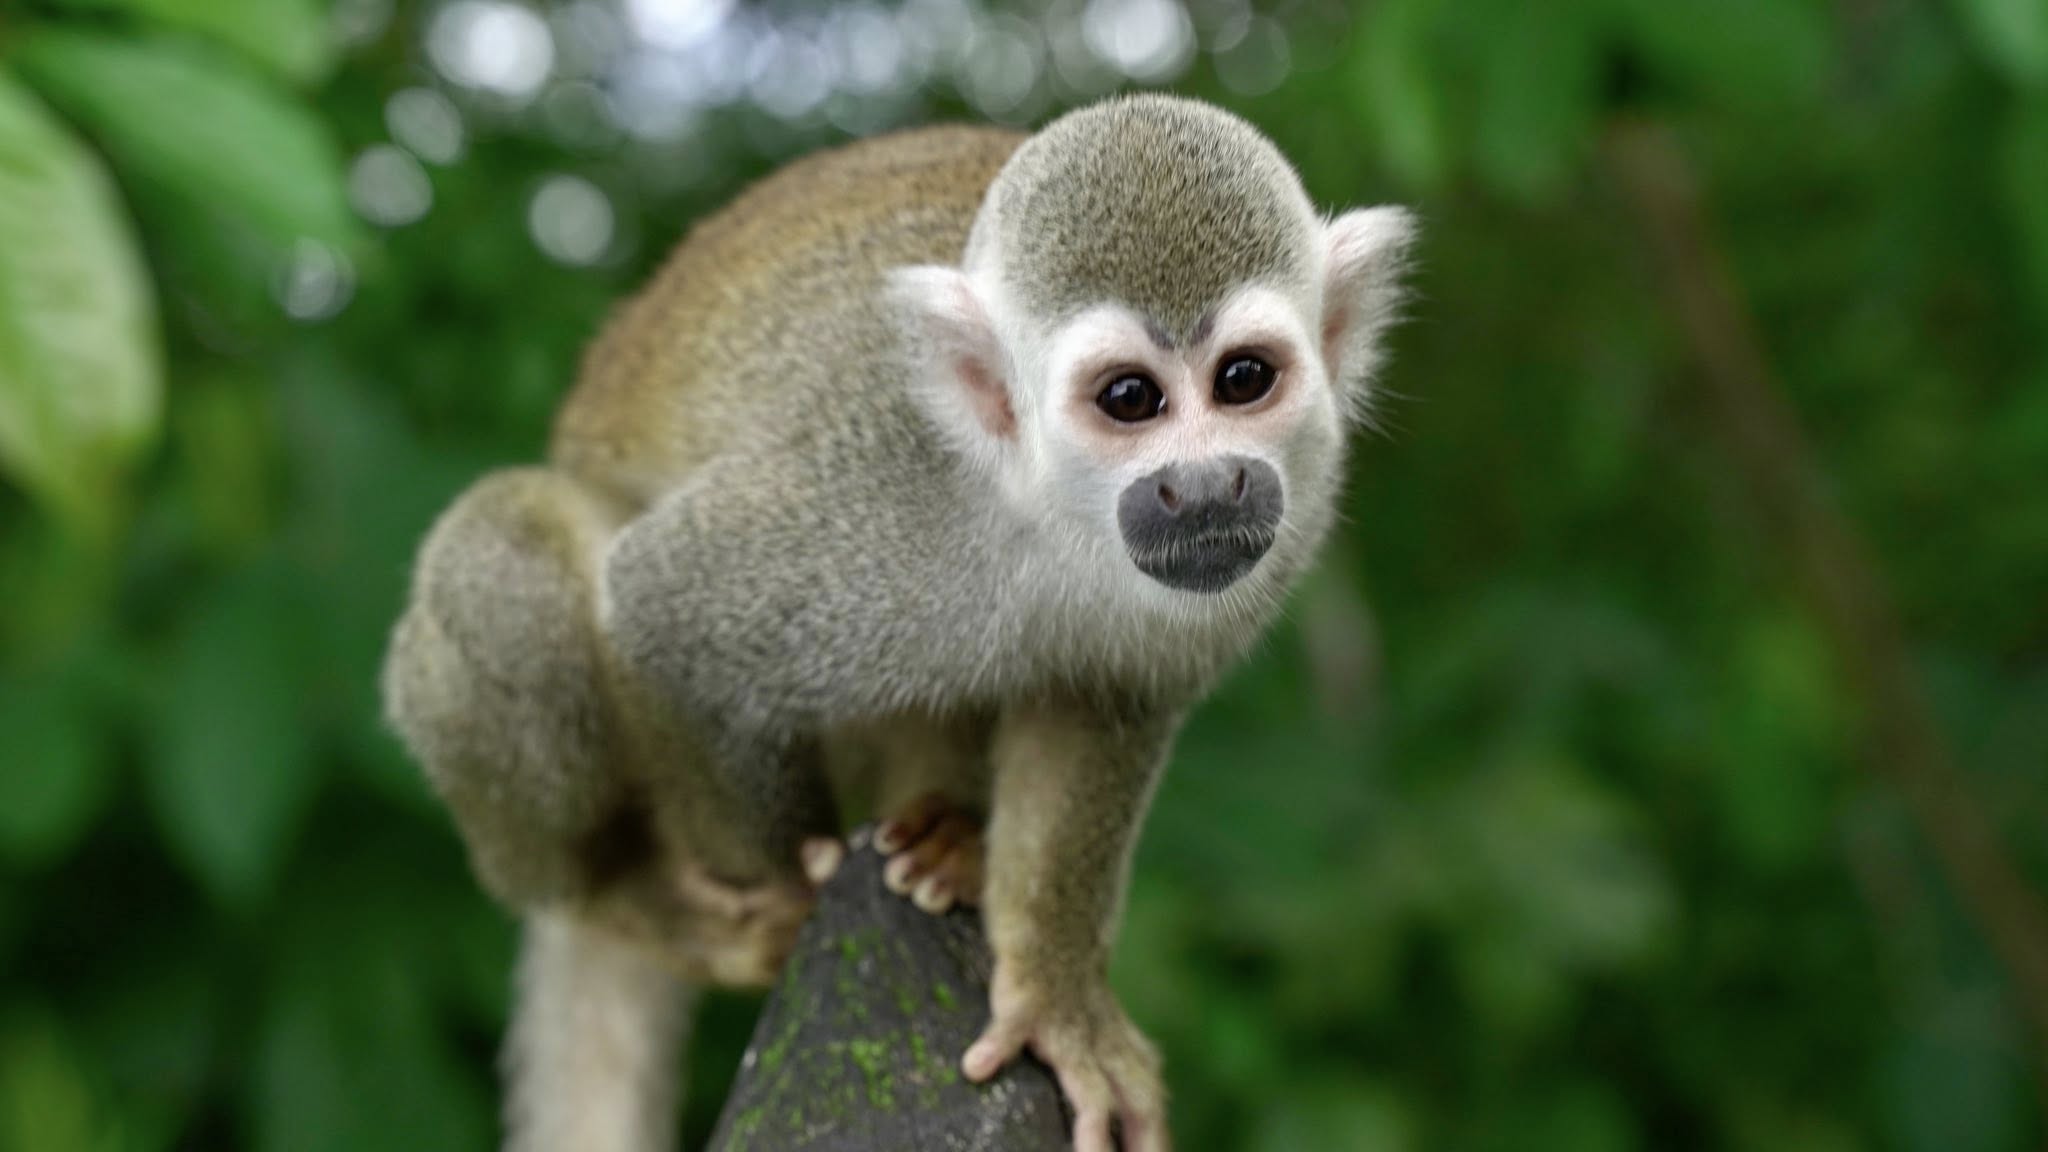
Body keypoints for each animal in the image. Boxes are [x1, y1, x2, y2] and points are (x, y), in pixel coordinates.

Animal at [382, 93, 1415, 1152]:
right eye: (1130, 398)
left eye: (1244, 379)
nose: (1205, 486)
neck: (1046, 511)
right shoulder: (867, 498)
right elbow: (659, 608)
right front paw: (793, 887)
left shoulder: (1278, 533)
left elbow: (1103, 702)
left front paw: (1056, 993)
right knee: (507, 553)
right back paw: (626, 897)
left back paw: (946, 833)